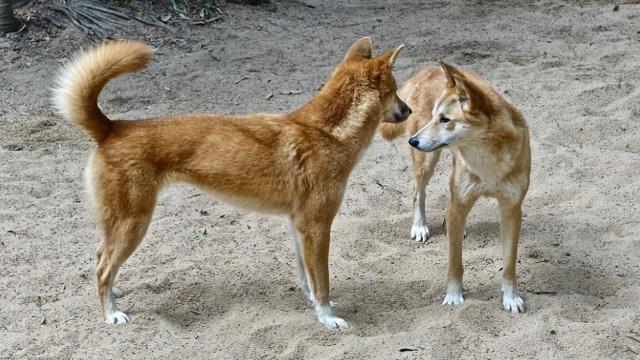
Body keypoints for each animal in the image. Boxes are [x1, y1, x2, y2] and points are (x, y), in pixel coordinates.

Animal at [52, 37, 408, 330]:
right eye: (395, 89)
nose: (409, 110)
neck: (328, 132)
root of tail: (110, 127)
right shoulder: (317, 226)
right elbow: (322, 281)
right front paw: (328, 317)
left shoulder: (299, 226)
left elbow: (306, 276)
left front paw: (312, 304)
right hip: (133, 223)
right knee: (102, 268)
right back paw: (111, 313)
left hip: (120, 223)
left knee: (101, 258)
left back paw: (116, 290)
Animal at [380, 59, 528, 312]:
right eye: (435, 117)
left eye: (445, 119)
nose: (412, 141)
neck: (487, 157)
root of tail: (427, 69)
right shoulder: (459, 202)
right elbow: (454, 261)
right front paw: (453, 296)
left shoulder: (512, 210)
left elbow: (509, 263)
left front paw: (510, 298)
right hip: (427, 161)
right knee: (417, 192)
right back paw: (420, 226)